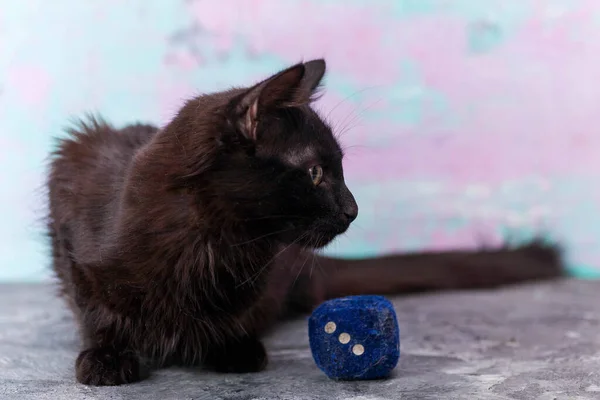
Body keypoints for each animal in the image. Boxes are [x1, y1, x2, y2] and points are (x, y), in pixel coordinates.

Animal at [47, 58, 564, 384]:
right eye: (316, 172)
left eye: (340, 168)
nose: (353, 209)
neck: (208, 245)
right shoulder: (72, 191)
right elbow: (94, 305)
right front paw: (105, 355)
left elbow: (238, 313)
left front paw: (232, 346)